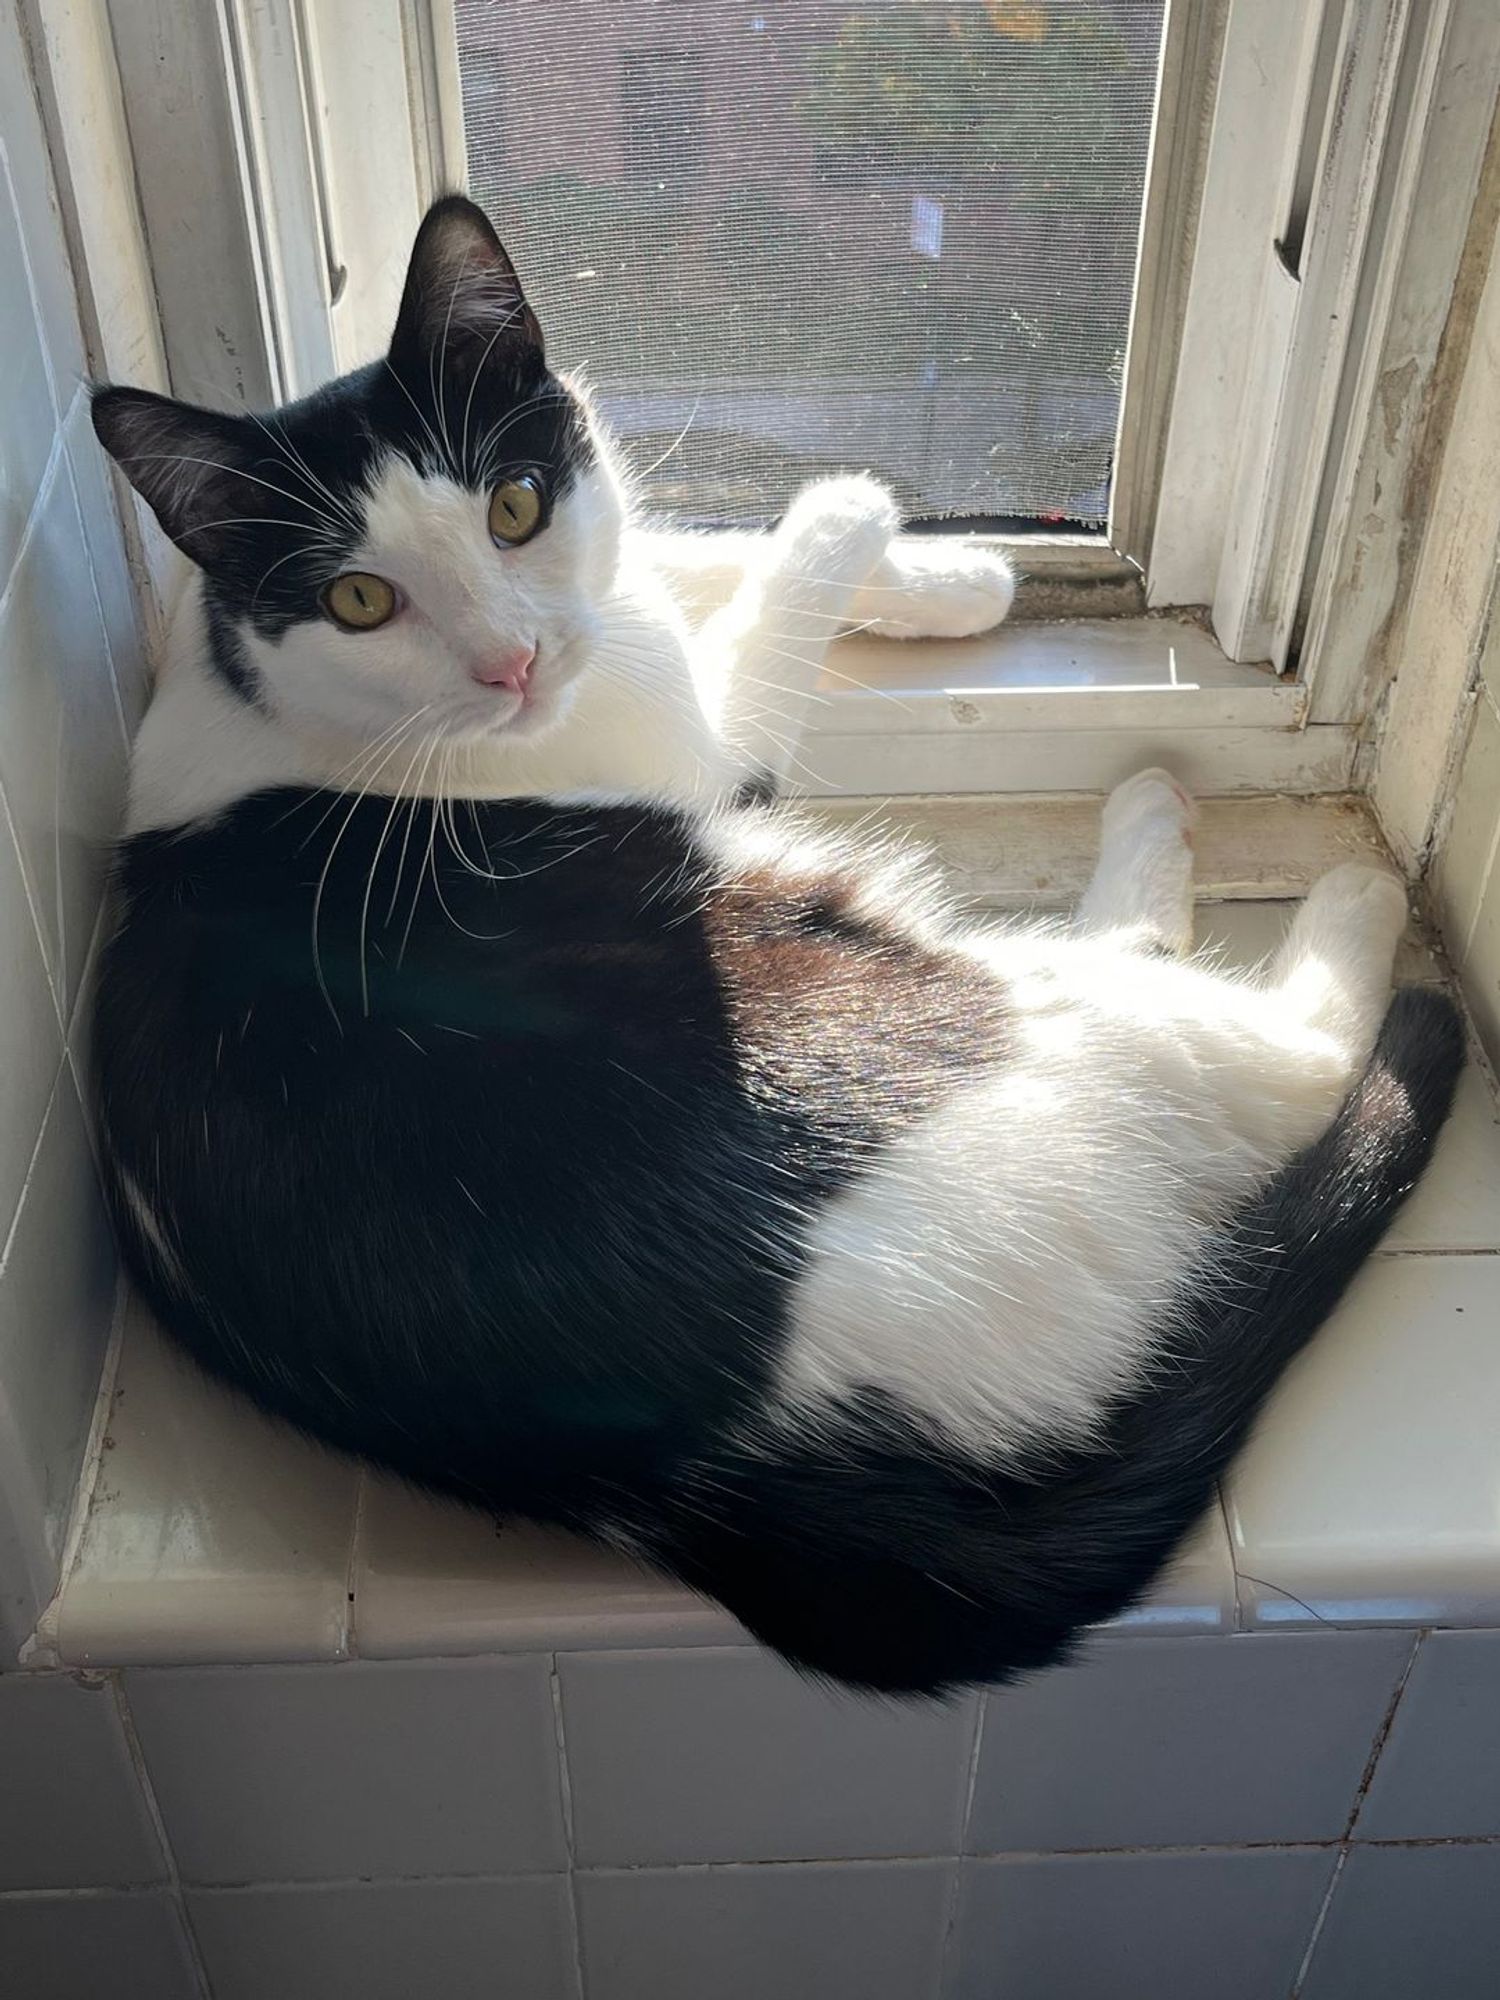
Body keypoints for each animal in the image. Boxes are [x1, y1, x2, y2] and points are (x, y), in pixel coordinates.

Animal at [91, 195, 1472, 1688]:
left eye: (513, 507)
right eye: (358, 600)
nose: (516, 661)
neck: (264, 703)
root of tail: (729, 1468)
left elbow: (672, 544)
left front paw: (955, 577)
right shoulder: (700, 753)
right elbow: (774, 578)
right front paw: (863, 513)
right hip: (958, 991)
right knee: (1284, 1061)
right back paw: (1290, 878)